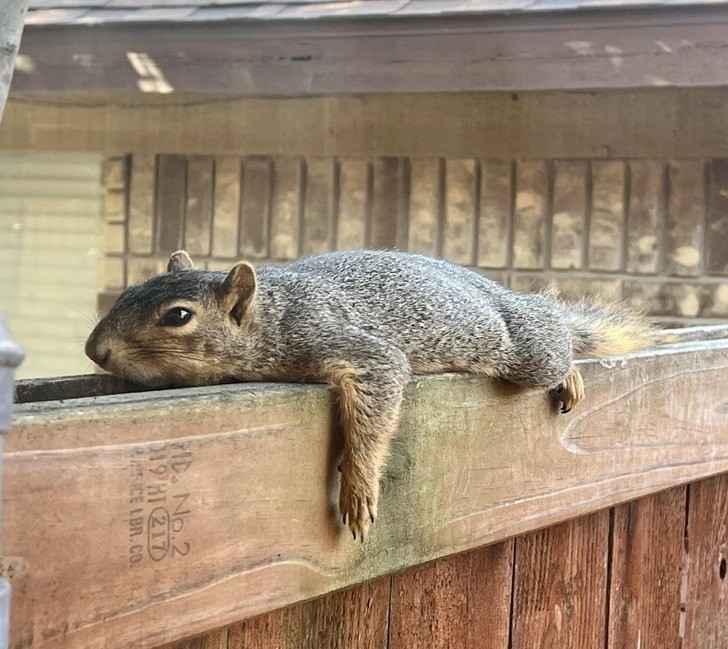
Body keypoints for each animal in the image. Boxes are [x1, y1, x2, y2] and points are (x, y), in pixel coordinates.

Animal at [86, 251, 660, 540]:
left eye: (178, 316)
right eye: (128, 291)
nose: (95, 350)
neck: (272, 315)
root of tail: (496, 291)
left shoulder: (348, 347)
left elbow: (378, 393)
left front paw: (358, 488)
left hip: (525, 347)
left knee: (551, 332)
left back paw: (569, 371)